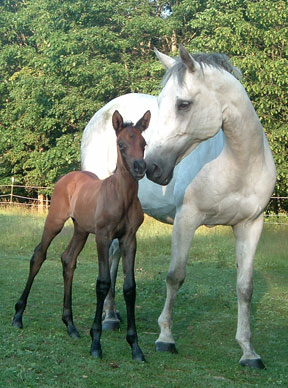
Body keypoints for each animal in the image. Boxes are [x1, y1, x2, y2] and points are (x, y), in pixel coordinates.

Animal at [12, 108, 151, 360]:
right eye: (121, 144)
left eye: (143, 143)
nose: (139, 168)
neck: (122, 196)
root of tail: (69, 176)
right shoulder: (103, 237)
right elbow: (103, 283)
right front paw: (96, 342)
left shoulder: (129, 239)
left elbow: (129, 287)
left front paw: (135, 347)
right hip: (55, 220)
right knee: (39, 255)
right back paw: (18, 316)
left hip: (81, 229)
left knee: (68, 259)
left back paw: (71, 325)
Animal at [80, 44, 274, 368]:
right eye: (161, 104)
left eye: (183, 104)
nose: (151, 167)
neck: (238, 164)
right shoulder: (187, 219)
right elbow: (175, 276)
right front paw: (165, 338)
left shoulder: (251, 225)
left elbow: (245, 287)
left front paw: (249, 351)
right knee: (108, 254)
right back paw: (109, 318)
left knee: (115, 253)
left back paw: (112, 316)